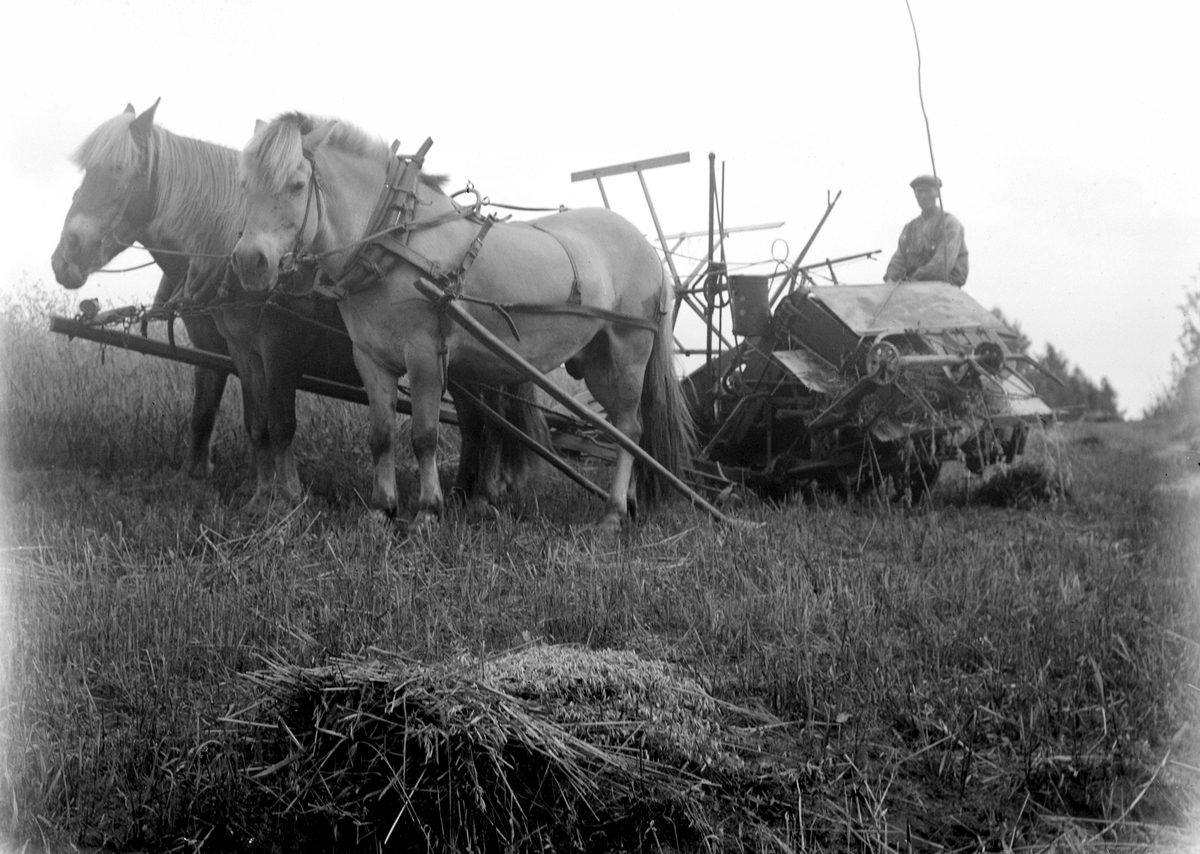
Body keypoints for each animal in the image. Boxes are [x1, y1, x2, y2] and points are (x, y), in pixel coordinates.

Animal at [230, 111, 696, 527]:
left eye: (296, 185)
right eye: (245, 185)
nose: (250, 262)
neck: (395, 239)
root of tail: (646, 245)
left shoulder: (423, 354)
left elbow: (423, 435)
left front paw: (427, 511)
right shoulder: (370, 357)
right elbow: (381, 434)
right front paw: (381, 508)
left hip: (630, 348)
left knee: (630, 429)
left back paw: (613, 514)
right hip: (598, 360)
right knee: (621, 428)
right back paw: (628, 503)